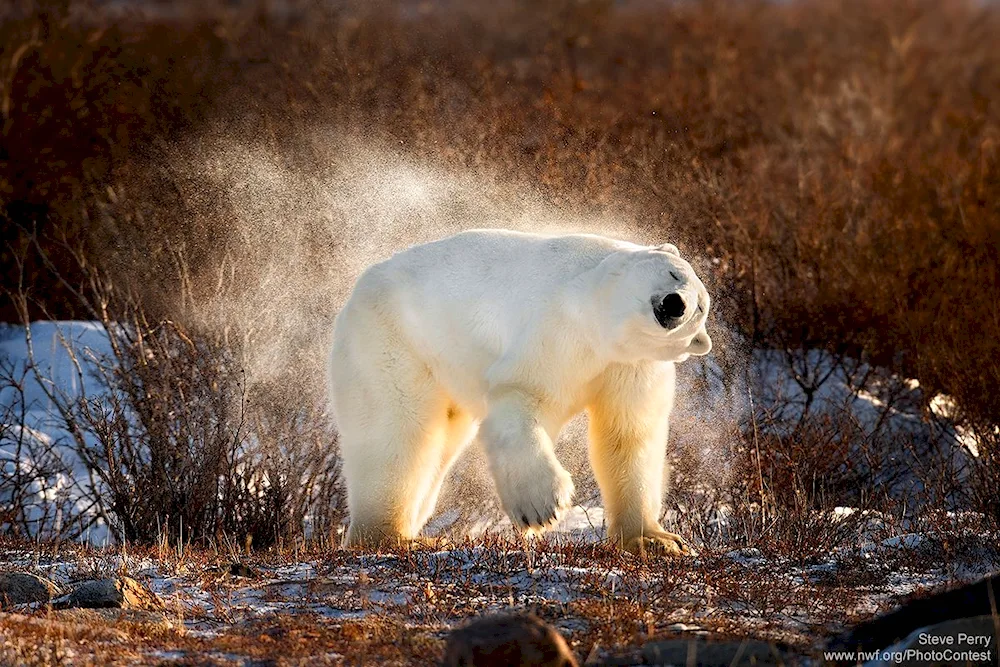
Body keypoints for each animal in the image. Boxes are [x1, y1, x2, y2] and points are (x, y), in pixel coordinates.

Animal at [328, 228, 712, 552]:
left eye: (700, 308)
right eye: (674, 275)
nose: (675, 304)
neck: (603, 329)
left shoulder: (634, 365)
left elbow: (628, 436)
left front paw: (656, 540)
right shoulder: (562, 326)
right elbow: (524, 395)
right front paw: (543, 507)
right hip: (395, 341)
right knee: (396, 431)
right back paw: (393, 537)